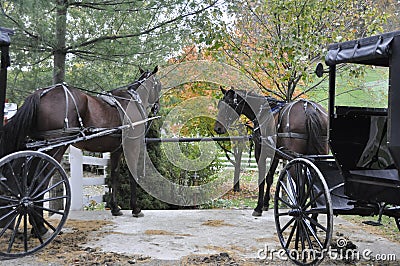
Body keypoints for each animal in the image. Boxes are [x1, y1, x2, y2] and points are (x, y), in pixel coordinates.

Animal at [214, 87, 326, 216]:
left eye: (229, 104)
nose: (217, 128)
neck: (263, 111)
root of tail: (308, 108)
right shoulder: (275, 156)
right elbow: (269, 178)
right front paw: (266, 204)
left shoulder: (260, 153)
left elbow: (262, 178)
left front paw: (258, 207)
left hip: (295, 160)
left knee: (302, 183)